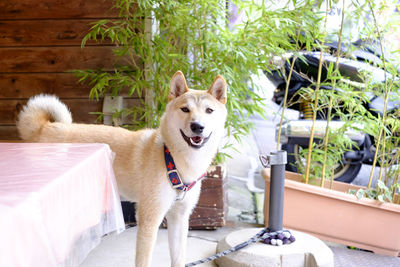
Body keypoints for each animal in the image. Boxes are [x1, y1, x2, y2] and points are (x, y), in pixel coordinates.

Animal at [17, 71, 228, 267]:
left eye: (209, 110)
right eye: (185, 109)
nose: (197, 126)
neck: (172, 159)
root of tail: (44, 128)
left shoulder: (179, 218)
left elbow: (178, 259)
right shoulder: (149, 219)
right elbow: (144, 261)